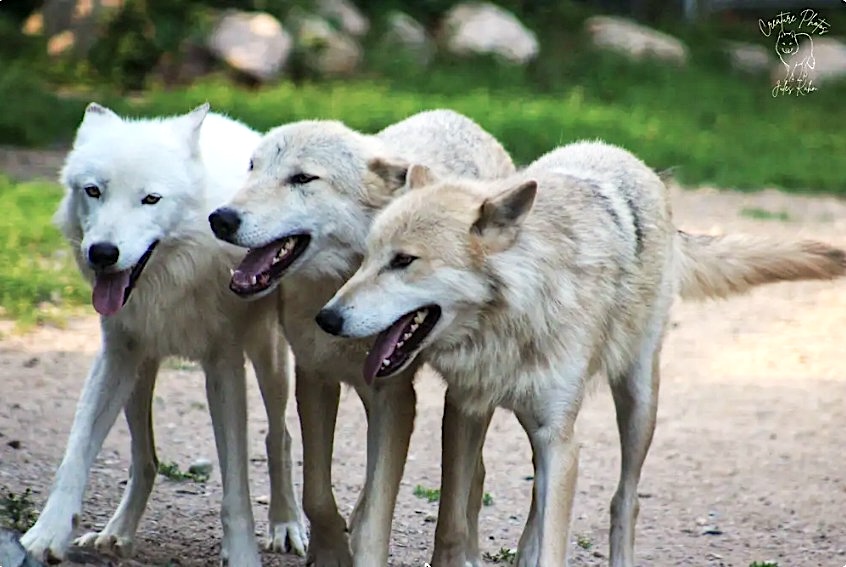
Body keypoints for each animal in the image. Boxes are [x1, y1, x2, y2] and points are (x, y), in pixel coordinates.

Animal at [20, 104, 307, 565]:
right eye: (93, 191)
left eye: (150, 199)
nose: (103, 253)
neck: (171, 280)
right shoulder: (114, 355)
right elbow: (75, 455)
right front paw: (45, 536)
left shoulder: (224, 367)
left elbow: (236, 486)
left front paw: (242, 553)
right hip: (139, 374)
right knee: (146, 459)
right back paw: (117, 532)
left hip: (270, 360)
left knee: (278, 437)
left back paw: (286, 526)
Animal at [207, 109, 516, 565]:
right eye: (252, 167)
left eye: (303, 178)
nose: (221, 218)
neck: (338, 287)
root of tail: (462, 119)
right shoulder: (315, 377)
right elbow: (318, 493)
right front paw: (332, 549)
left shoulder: (395, 396)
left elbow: (376, 511)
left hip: (462, 401)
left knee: (470, 480)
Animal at [316, 140, 846, 567]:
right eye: (366, 257)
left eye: (404, 260)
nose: (328, 318)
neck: (515, 317)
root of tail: (629, 158)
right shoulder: (466, 410)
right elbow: (452, 525)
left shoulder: (559, 437)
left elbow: (555, 541)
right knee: (536, 499)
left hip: (636, 403)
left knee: (625, 500)